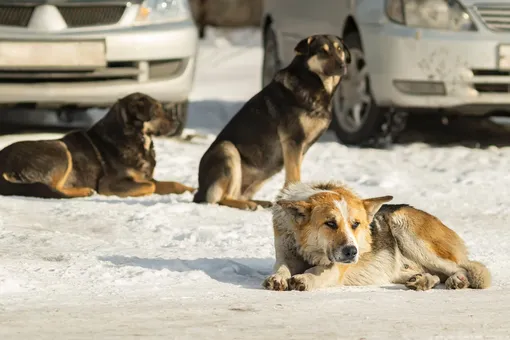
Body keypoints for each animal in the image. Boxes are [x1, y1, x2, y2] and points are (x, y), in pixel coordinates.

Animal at [0, 93, 195, 199]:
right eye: (157, 111)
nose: (178, 123)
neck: (134, 137)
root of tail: (4, 162)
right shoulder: (109, 184)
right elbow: (151, 186)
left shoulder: (145, 177)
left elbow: (172, 183)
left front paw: (192, 189)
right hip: (60, 149)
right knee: (52, 189)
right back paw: (84, 191)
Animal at [192, 34, 350, 210]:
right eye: (322, 51)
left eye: (339, 49)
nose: (343, 66)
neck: (312, 84)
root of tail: (199, 190)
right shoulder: (293, 141)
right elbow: (294, 176)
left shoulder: (300, 148)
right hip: (227, 150)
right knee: (220, 198)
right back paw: (245, 204)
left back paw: (259, 202)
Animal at [262, 182, 490, 290]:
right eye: (330, 223)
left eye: (356, 224)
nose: (352, 252)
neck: (308, 248)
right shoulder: (286, 255)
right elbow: (282, 268)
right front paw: (278, 278)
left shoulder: (337, 267)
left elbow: (319, 271)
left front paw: (305, 279)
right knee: (431, 274)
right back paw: (422, 281)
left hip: (404, 226)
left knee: (461, 268)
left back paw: (457, 280)